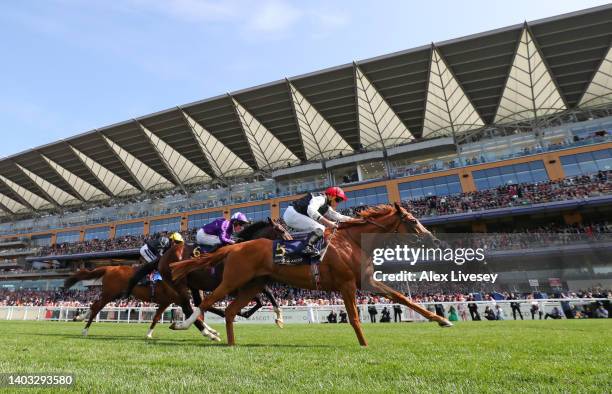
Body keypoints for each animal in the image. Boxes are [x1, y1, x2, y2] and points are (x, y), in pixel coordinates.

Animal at [172, 205, 454, 346]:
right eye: (412, 220)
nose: (435, 240)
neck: (352, 242)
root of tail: (234, 246)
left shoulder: (367, 281)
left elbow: (402, 298)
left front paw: (441, 320)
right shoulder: (346, 284)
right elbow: (354, 317)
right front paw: (364, 344)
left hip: (253, 285)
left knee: (229, 310)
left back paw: (230, 342)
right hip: (233, 280)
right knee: (205, 303)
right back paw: (186, 326)